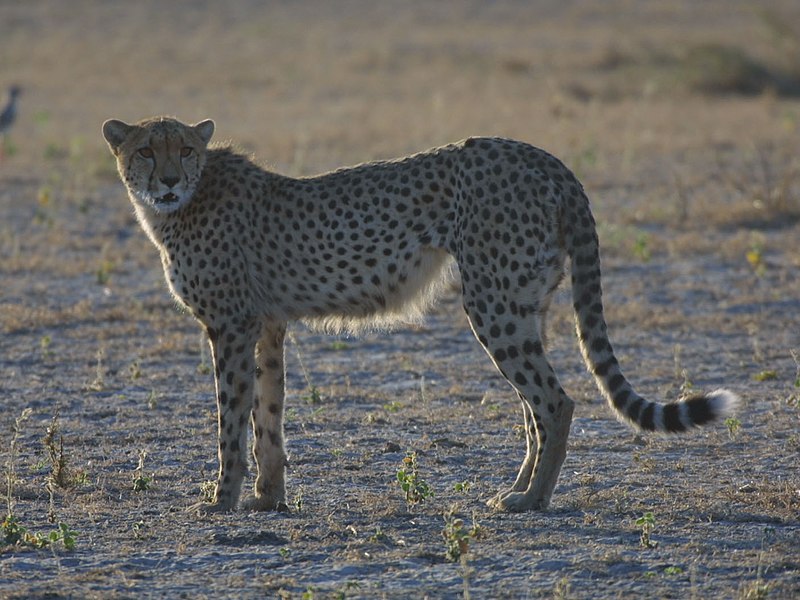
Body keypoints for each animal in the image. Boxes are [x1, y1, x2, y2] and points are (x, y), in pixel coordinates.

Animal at [101, 116, 736, 510]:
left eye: (185, 149)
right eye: (145, 150)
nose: (168, 180)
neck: (179, 207)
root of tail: (541, 154)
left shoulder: (231, 327)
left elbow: (231, 420)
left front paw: (224, 499)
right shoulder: (268, 325)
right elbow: (268, 416)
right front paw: (267, 499)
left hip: (494, 303)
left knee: (556, 401)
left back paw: (533, 500)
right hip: (525, 303)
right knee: (536, 407)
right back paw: (518, 489)